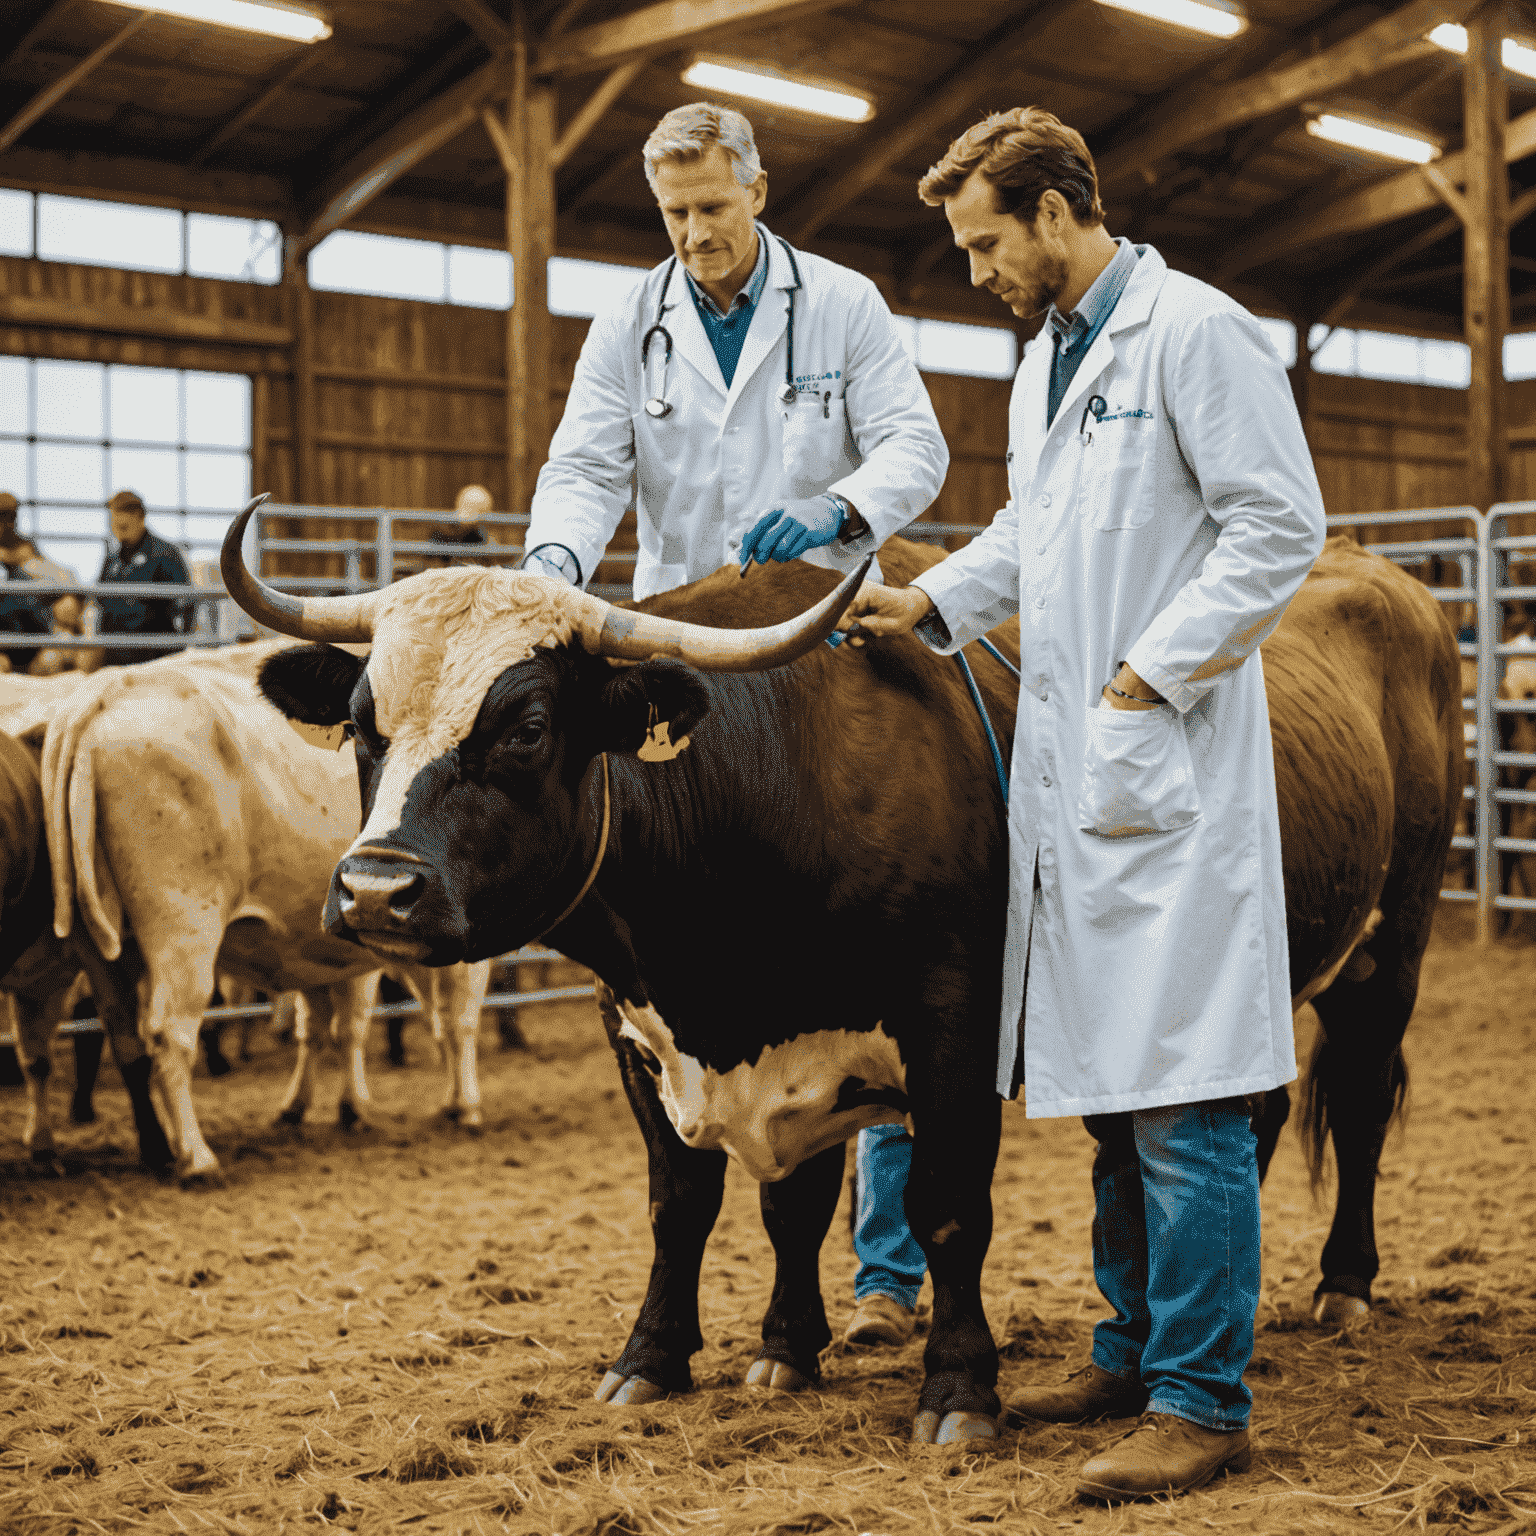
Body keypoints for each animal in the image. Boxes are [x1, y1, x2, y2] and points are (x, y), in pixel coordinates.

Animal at [219, 497, 1007, 1443]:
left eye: (526, 729)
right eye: (361, 727)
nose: (374, 891)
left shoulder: (954, 1030)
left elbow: (946, 1205)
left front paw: (958, 1389)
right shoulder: (648, 1032)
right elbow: (698, 1203)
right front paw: (677, 1356)